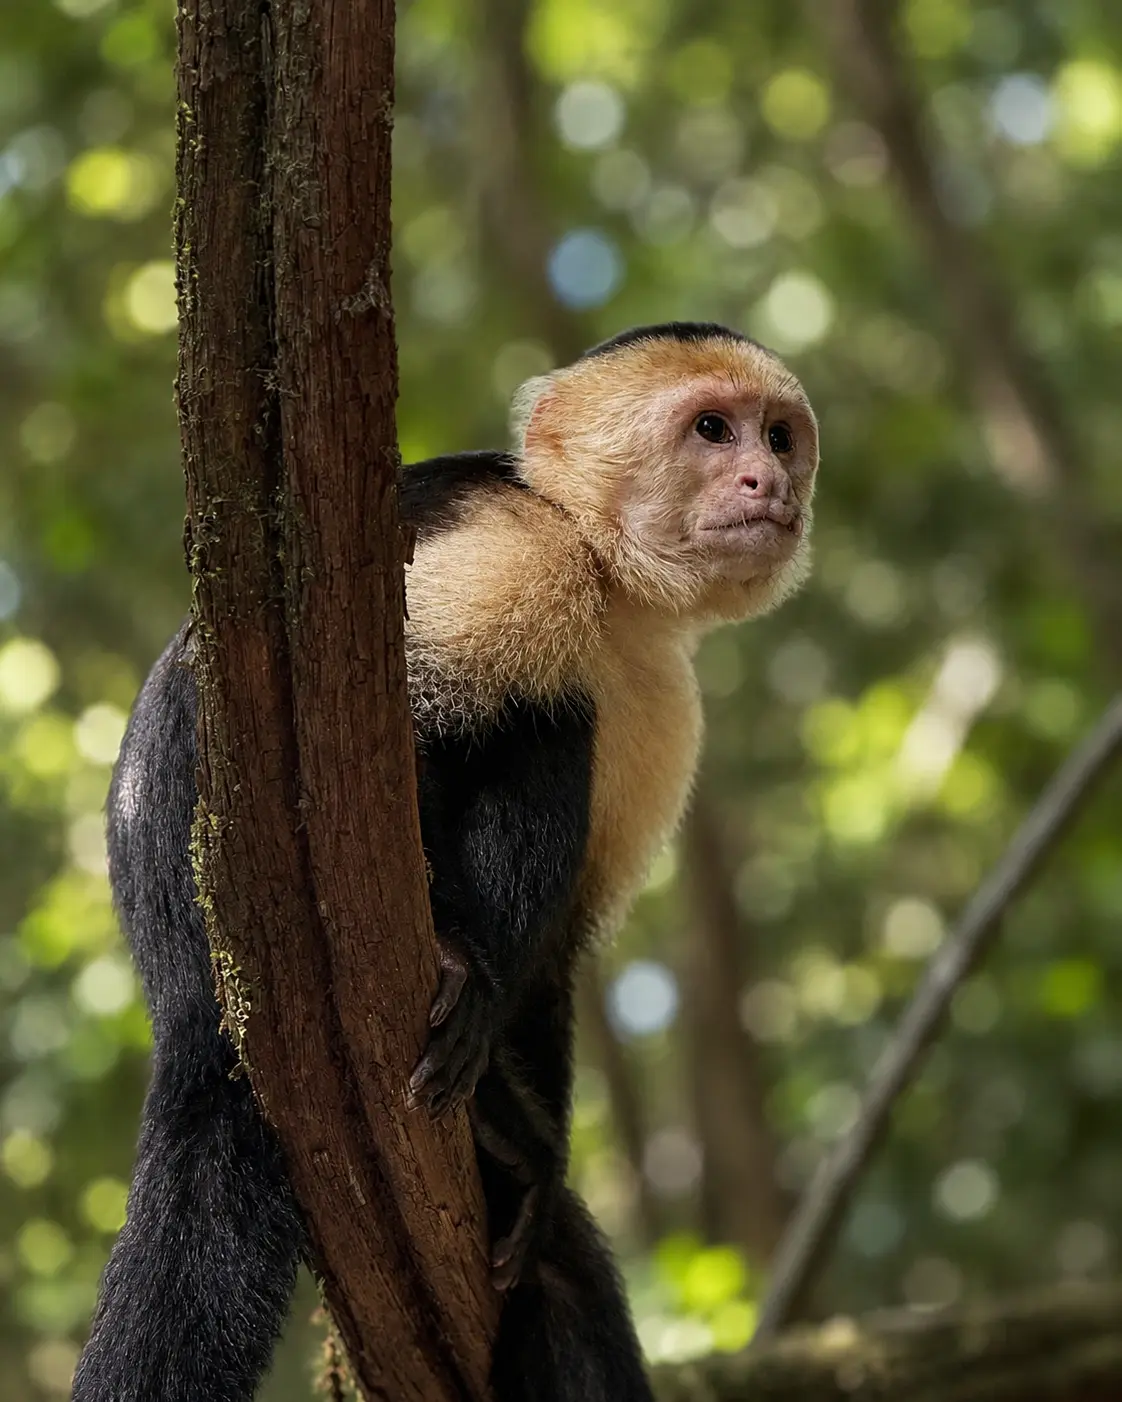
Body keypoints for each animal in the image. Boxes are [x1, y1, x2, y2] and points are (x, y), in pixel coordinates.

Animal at [71, 322, 818, 1402]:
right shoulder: (515, 553)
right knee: (545, 718)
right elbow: (344, 751)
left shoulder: (664, 699)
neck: (604, 572)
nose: (770, 480)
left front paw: (532, 1148)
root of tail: (181, 1001)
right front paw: (459, 954)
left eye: (781, 436)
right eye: (713, 430)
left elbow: (554, 963)